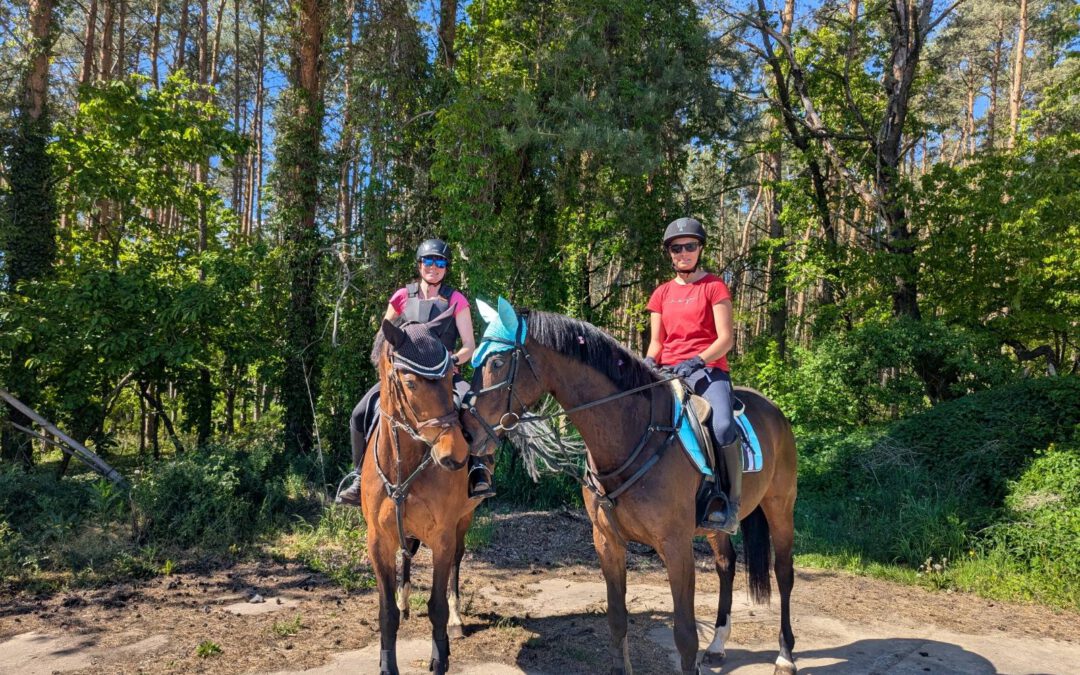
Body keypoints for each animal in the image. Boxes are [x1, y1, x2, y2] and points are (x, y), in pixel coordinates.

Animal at [361, 317, 478, 675]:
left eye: (450, 375)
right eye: (411, 383)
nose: (456, 455)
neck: (405, 465)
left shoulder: (442, 536)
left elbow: (436, 605)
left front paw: (440, 658)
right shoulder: (377, 539)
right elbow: (386, 612)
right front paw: (388, 665)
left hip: (464, 521)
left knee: (456, 563)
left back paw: (456, 619)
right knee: (407, 554)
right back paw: (404, 599)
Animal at [463, 298, 798, 675]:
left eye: (497, 362)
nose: (467, 430)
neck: (632, 433)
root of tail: (774, 410)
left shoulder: (676, 546)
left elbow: (685, 635)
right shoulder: (607, 541)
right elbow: (617, 618)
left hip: (780, 506)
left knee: (784, 573)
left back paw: (785, 655)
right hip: (718, 527)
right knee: (727, 564)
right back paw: (717, 645)